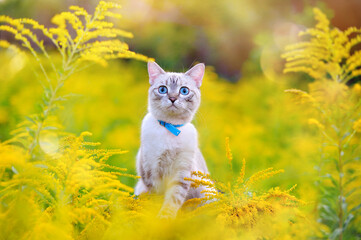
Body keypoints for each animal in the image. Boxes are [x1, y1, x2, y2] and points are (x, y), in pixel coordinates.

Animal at [134, 61, 208, 218]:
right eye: (163, 89)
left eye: (184, 91)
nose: (173, 98)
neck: (170, 127)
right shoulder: (151, 171)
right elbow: (155, 199)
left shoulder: (181, 173)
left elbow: (172, 202)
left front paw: (164, 219)